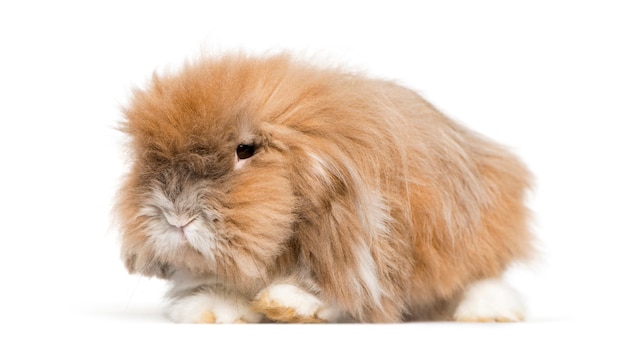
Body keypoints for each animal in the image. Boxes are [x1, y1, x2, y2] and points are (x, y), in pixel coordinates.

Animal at [116, 51, 532, 324]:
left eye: (245, 150)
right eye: (149, 160)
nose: (176, 217)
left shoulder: (360, 247)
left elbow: (333, 289)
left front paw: (283, 305)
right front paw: (208, 310)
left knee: (481, 277)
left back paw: (487, 312)